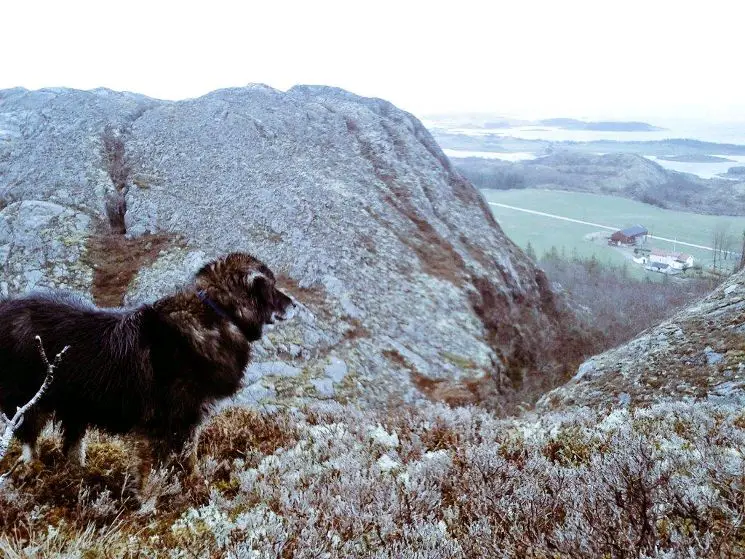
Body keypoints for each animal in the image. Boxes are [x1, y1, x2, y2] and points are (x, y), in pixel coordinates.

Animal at [0, 253, 294, 468]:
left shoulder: (190, 419)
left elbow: (190, 458)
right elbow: (155, 470)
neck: (217, 313)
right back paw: (34, 471)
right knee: (29, 440)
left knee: (72, 444)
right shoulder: (161, 422)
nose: (294, 304)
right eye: (271, 287)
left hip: (76, 405)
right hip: (31, 401)